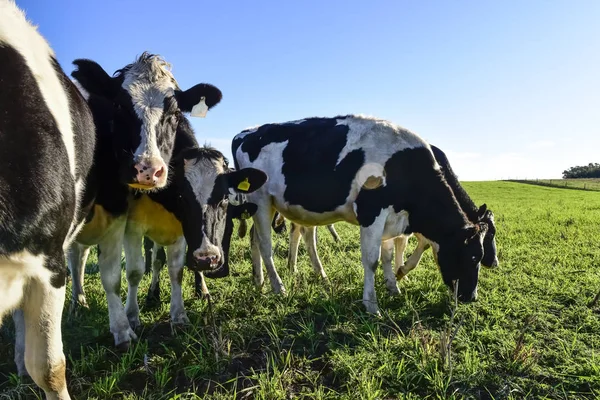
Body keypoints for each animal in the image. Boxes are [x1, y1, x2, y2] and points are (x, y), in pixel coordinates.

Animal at [64, 52, 223, 350]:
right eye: (119, 107)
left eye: (175, 114)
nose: (148, 169)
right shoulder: (128, 224)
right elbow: (132, 272)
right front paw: (130, 320)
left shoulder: (179, 228)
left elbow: (175, 269)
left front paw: (179, 315)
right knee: (75, 258)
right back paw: (78, 301)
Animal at [232, 115, 490, 316]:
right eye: (474, 257)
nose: (471, 297)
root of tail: (246, 133)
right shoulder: (371, 213)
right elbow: (372, 260)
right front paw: (372, 305)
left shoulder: (391, 219)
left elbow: (387, 256)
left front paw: (394, 288)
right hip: (261, 199)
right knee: (265, 244)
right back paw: (278, 287)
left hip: (268, 205)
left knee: (256, 239)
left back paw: (260, 281)